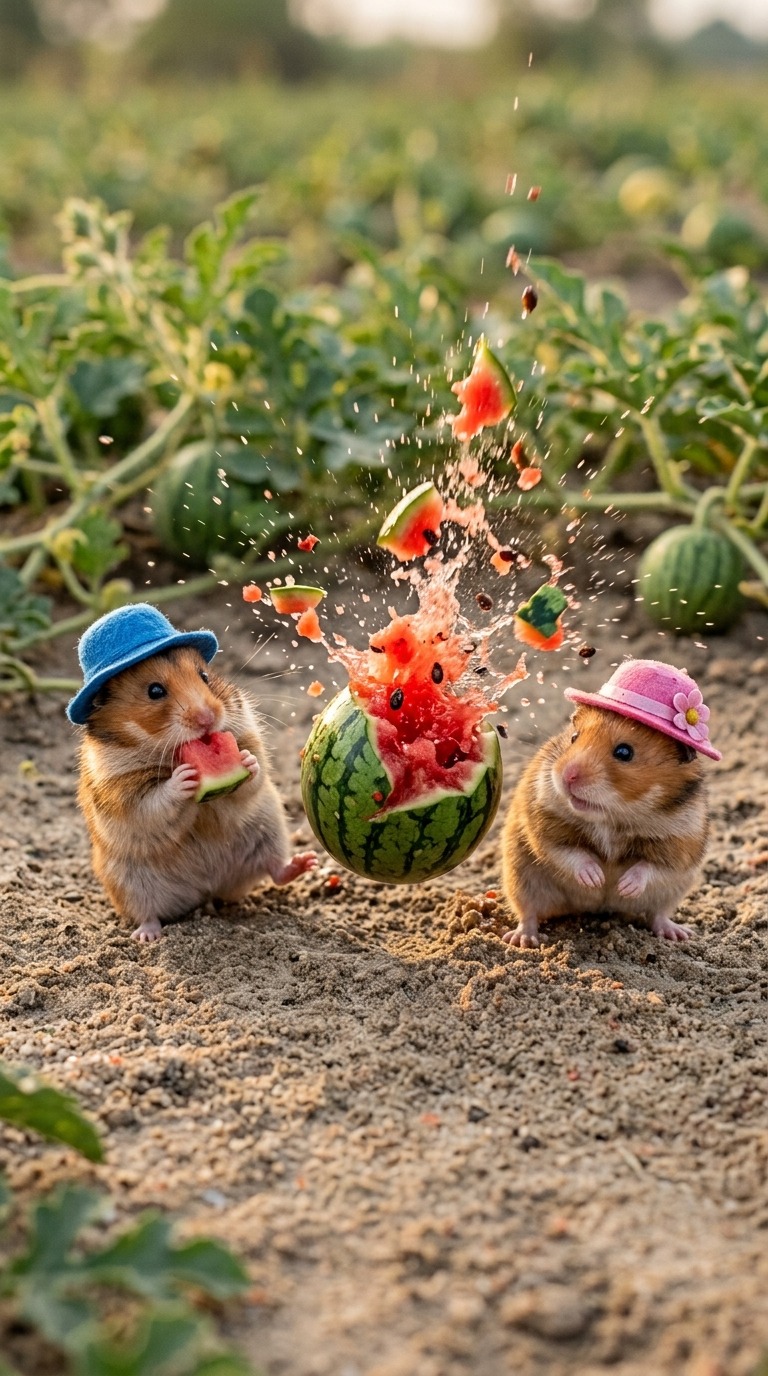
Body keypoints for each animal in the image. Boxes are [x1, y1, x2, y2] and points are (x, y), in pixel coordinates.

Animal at [77, 645, 316, 941]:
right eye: (154, 691)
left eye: (204, 676)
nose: (208, 719)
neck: (169, 751)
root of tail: (207, 890)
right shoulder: (124, 794)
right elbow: (154, 802)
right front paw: (183, 779)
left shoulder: (247, 734)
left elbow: (254, 772)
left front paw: (247, 760)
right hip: (128, 882)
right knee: (147, 914)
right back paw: (146, 937)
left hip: (271, 833)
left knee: (276, 870)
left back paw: (308, 862)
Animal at [501, 704, 708, 949]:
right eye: (574, 737)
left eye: (624, 752)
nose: (566, 776)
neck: (612, 816)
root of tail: (598, 908)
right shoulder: (544, 825)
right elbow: (570, 853)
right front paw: (597, 880)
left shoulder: (680, 846)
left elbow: (650, 867)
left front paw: (622, 886)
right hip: (521, 879)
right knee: (528, 913)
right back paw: (522, 940)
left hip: (672, 892)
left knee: (657, 915)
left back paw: (679, 934)